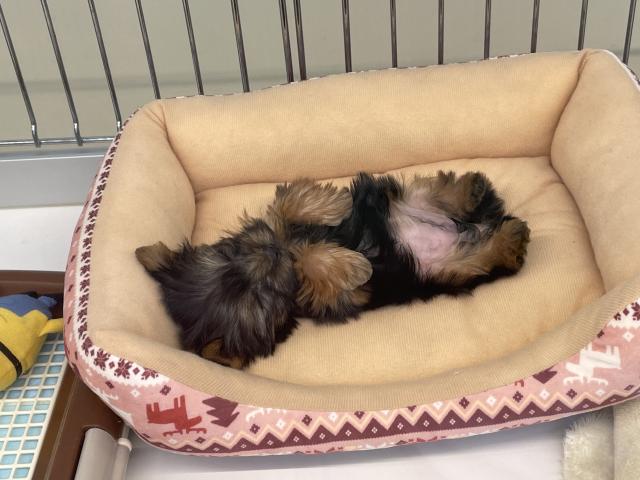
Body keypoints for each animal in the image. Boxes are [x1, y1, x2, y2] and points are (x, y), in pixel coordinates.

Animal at [136, 171, 530, 368]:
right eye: (266, 293)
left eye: (233, 253)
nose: (274, 253)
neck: (290, 248)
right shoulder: (328, 297)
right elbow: (320, 268)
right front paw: (354, 264)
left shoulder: (280, 229)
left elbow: (286, 206)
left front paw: (332, 205)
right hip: (444, 269)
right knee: (482, 256)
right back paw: (509, 239)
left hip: (409, 202)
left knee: (433, 191)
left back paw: (470, 190)